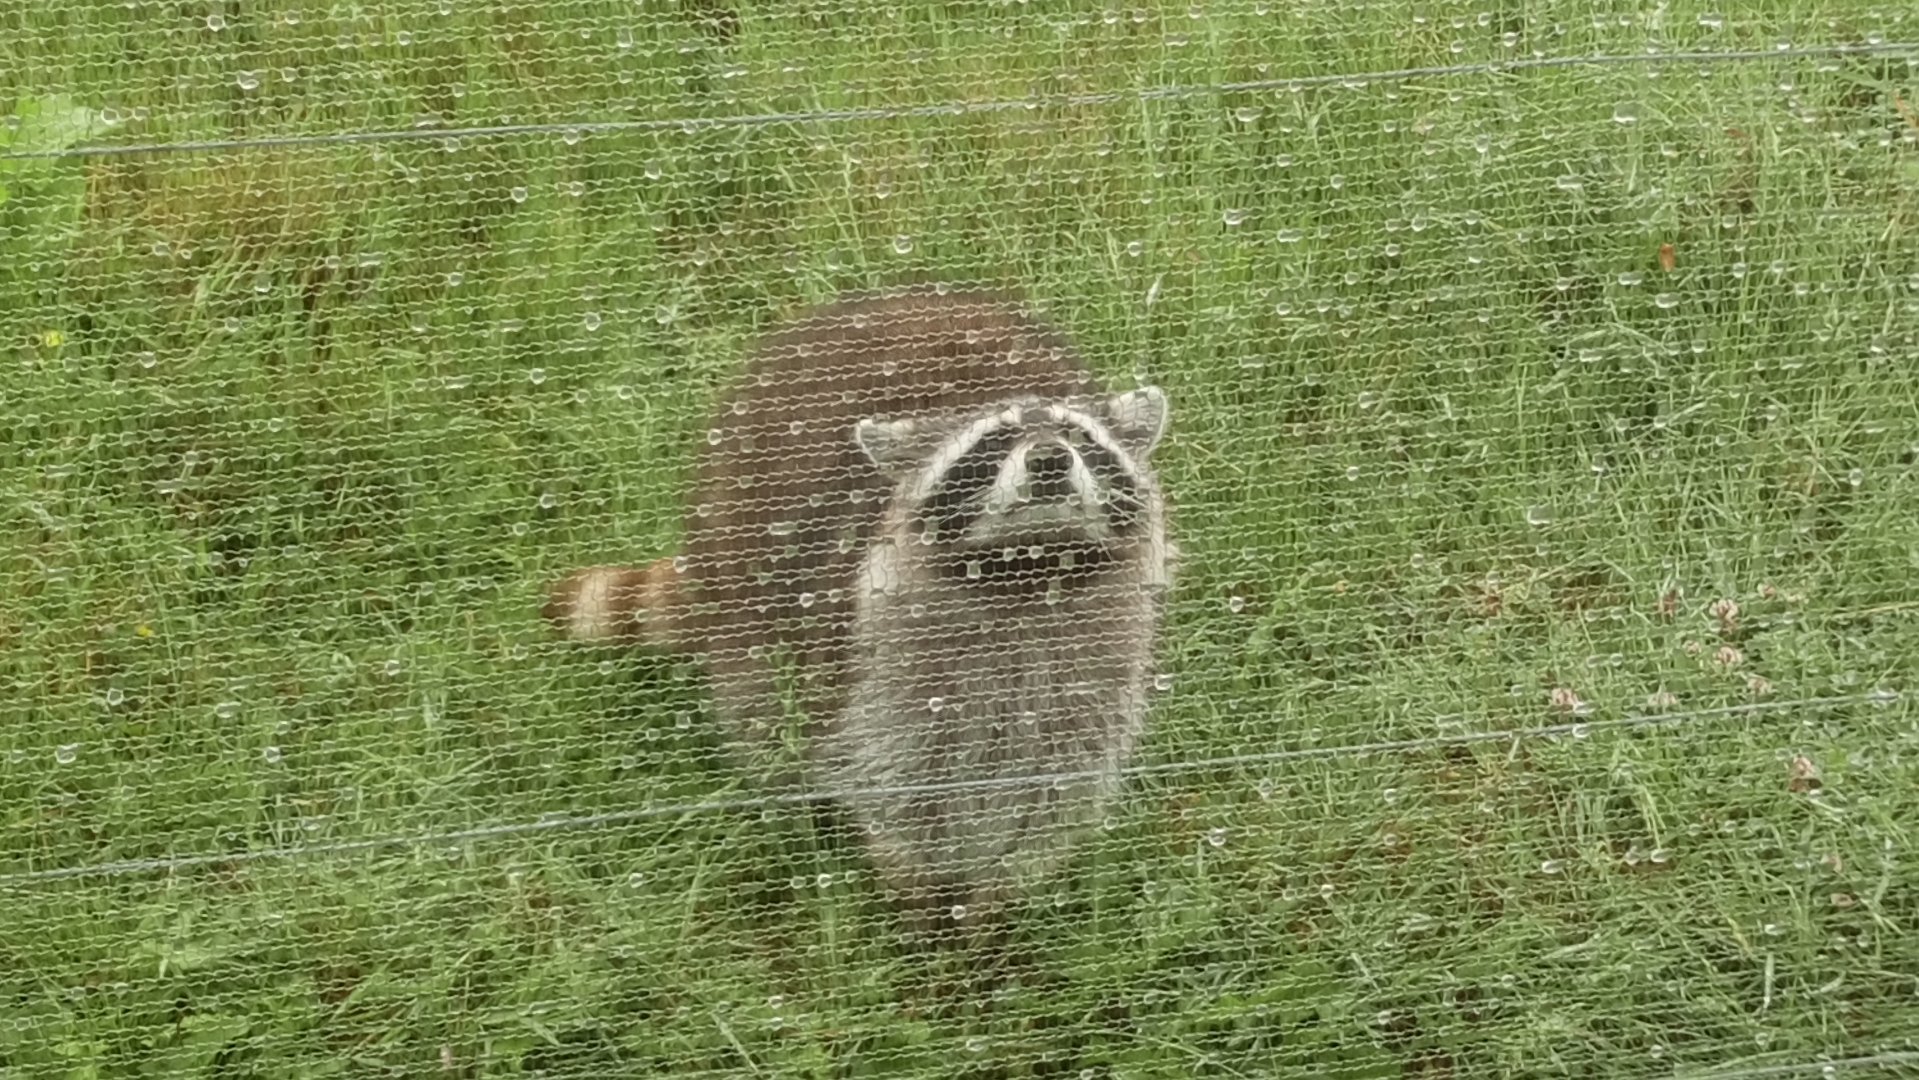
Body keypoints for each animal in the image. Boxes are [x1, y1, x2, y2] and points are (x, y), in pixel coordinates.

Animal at [543, 285, 1174, 927]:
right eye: (991, 443)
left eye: (1083, 440)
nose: (1049, 458)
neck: (1028, 573)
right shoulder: (886, 645)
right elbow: (889, 761)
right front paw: (908, 869)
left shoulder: (1100, 647)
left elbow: (1060, 776)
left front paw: (1001, 885)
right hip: (742, 575)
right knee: (765, 709)